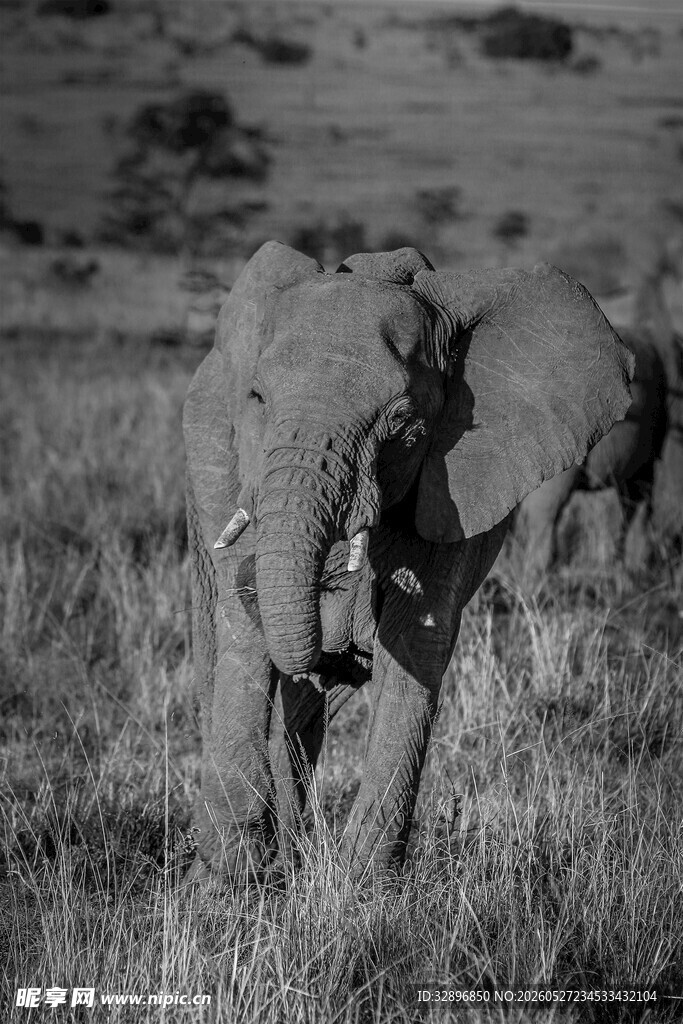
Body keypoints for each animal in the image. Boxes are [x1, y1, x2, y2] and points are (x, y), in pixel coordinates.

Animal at [183, 241, 633, 881]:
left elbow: (415, 642)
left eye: (400, 423)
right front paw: (230, 870)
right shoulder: (230, 466)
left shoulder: (458, 486)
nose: (335, 581)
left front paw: (363, 885)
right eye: (258, 401)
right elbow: (244, 634)